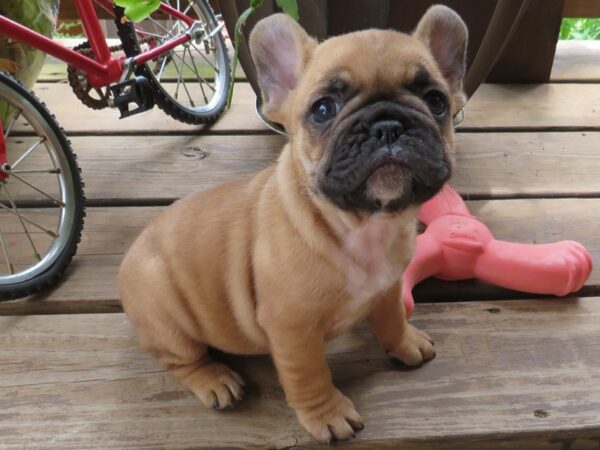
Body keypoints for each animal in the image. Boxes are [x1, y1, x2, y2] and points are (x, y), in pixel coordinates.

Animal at [119, 5, 468, 442]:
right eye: (323, 109)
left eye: (436, 101)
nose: (387, 125)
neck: (363, 227)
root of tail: (127, 260)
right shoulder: (293, 328)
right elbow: (310, 374)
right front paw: (328, 414)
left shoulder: (388, 288)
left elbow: (391, 318)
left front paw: (405, 343)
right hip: (168, 320)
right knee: (182, 359)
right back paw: (215, 380)